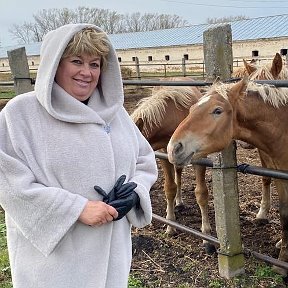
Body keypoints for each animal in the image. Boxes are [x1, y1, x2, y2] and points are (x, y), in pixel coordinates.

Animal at [132, 79, 215, 252]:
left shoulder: (199, 158)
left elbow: (201, 193)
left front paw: (207, 237)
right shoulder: (164, 154)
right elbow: (170, 188)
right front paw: (170, 225)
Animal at [166, 78, 288, 274]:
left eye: (217, 110)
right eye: (191, 109)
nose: (173, 148)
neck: (283, 127)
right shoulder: (280, 177)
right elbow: (285, 214)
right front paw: (282, 261)